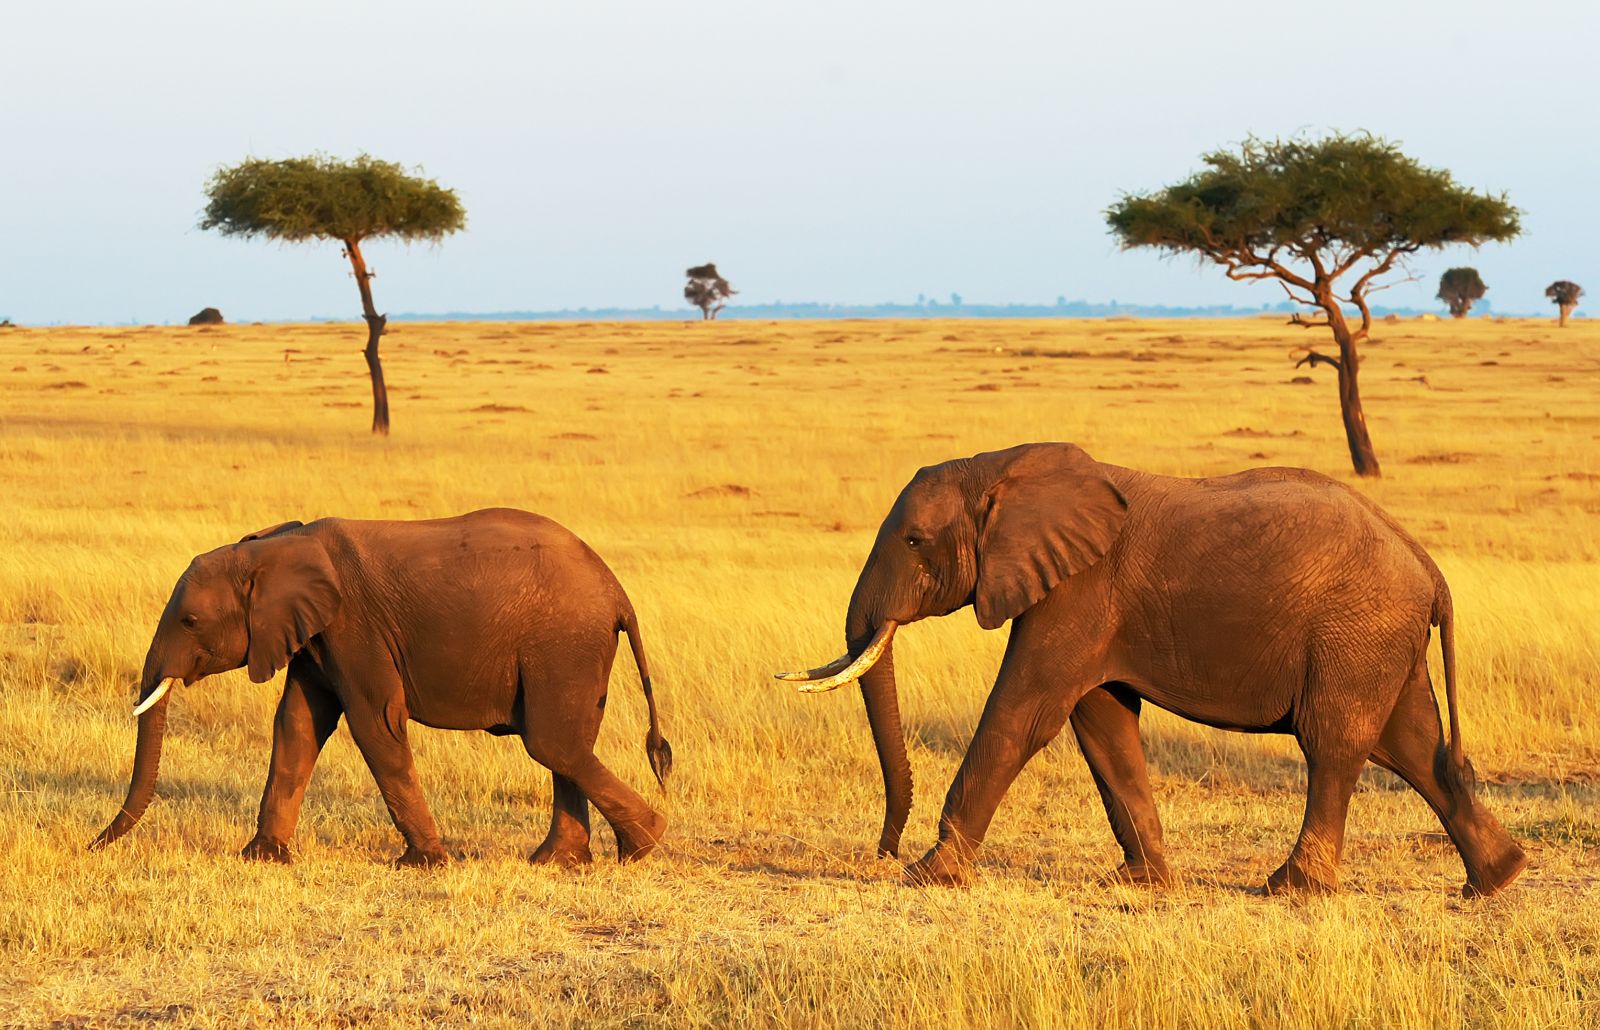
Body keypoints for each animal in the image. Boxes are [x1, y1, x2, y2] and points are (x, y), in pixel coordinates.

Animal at [91, 508, 673, 868]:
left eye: (189, 621)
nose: (91, 845)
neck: (275, 547)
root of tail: (618, 591)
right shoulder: (315, 635)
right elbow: (297, 726)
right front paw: (262, 857)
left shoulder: (354, 626)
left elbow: (375, 723)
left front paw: (425, 863)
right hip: (573, 648)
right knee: (566, 744)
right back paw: (561, 861)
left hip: (564, 642)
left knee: (553, 743)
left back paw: (644, 843)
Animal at [778, 442, 1526, 897]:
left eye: (912, 541)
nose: (883, 852)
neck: (1000, 466)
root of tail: (1428, 567)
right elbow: (1102, 724)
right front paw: (1142, 883)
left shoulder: (1078, 591)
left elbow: (1024, 715)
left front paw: (929, 876)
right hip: (1380, 641)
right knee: (1415, 748)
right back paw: (1496, 879)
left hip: (1357, 631)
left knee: (1335, 745)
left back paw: (1291, 888)